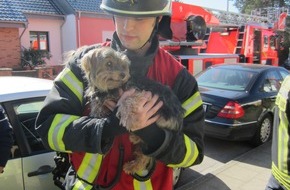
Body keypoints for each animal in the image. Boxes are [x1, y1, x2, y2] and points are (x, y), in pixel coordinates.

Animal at [78, 46, 186, 174]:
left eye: (123, 65)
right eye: (109, 63)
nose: (123, 74)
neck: (111, 88)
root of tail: (180, 117)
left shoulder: (138, 93)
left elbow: (126, 101)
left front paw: (130, 120)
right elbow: (97, 105)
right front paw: (97, 113)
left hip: (162, 117)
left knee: (146, 154)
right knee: (142, 155)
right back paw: (132, 164)